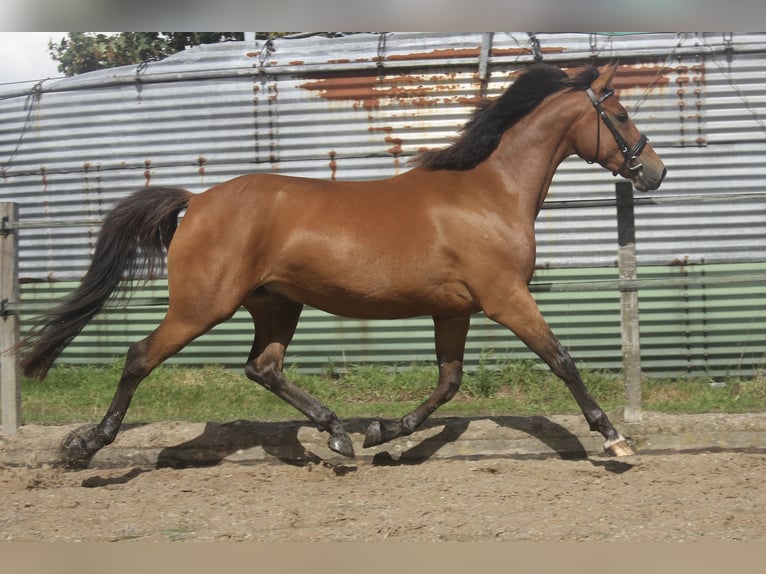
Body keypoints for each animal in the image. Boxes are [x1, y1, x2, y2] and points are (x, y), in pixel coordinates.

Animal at [21, 63, 666, 469]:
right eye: (621, 114)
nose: (655, 172)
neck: (491, 191)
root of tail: (197, 201)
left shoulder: (454, 310)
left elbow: (449, 383)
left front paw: (384, 433)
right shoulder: (506, 298)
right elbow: (563, 360)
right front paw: (615, 439)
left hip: (276, 304)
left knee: (263, 368)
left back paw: (337, 437)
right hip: (203, 306)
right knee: (140, 357)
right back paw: (86, 447)